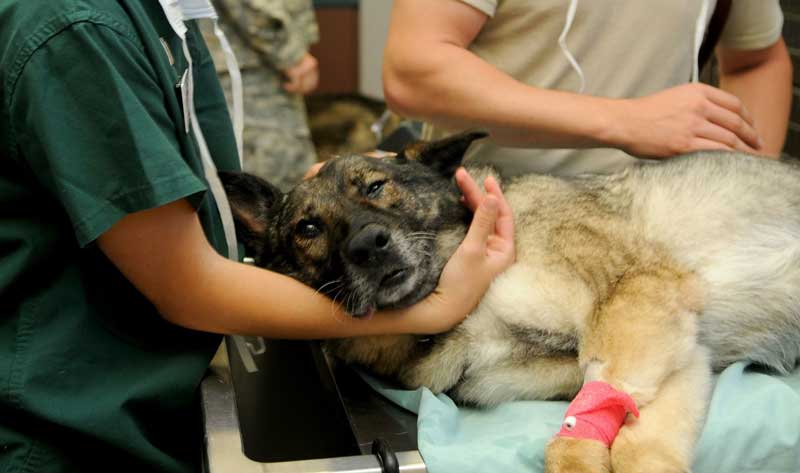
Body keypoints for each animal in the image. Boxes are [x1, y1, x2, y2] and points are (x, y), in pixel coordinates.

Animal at [219, 132, 800, 472]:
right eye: (308, 228)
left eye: (377, 186)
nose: (368, 245)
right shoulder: (676, 354)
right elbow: (631, 436)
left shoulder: (637, 300)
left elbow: (591, 434)